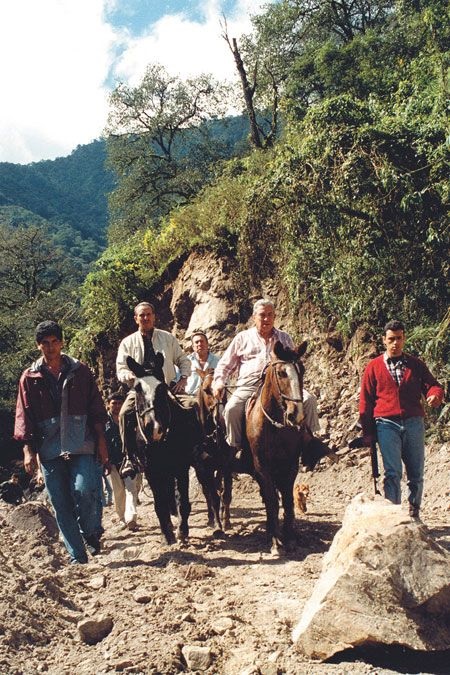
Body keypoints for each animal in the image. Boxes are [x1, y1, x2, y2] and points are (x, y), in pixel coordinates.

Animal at [246, 340, 326, 556]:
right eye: (282, 373)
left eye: (302, 370)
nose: (295, 414)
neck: (275, 426)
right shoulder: (262, 467)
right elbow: (273, 501)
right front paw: (275, 540)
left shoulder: (290, 465)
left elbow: (288, 499)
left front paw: (289, 537)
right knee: (268, 497)